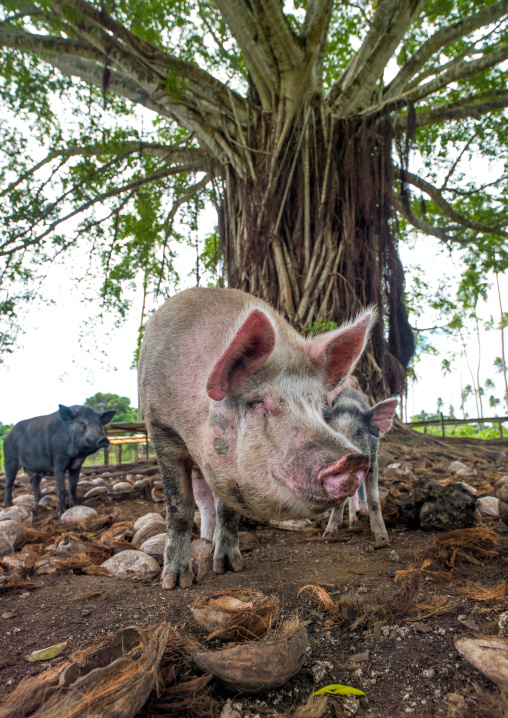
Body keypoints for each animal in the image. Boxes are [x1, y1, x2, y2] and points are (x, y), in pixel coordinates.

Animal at [138, 287, 376, 589]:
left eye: (319, 405)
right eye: (256, 402)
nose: (353, 459)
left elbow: (227, 510)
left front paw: (230, 567)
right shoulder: (161, 431)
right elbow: (179, 508)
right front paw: (175, 582)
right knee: (200, 502)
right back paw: (202, 543)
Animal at [322, 387, 398, 544]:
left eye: (359, 433)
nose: (347, 458)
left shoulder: (373, 458)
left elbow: (373, 498)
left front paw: (382, 539)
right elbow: (339, 502)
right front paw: (327, 535)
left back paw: (360, 515)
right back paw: (352, 522)